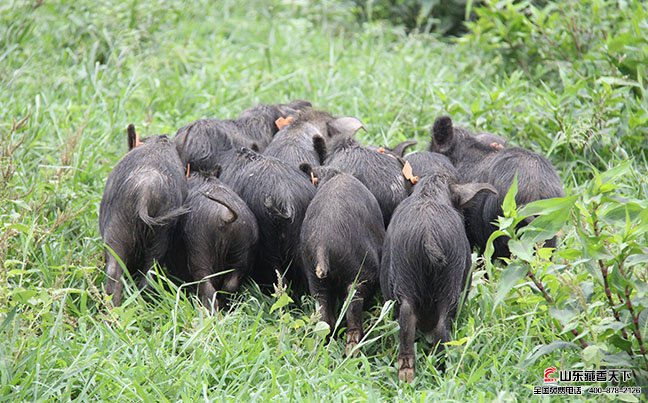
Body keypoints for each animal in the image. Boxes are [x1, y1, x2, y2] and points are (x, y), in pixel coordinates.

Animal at [298, 166, 384, 356]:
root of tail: (322, 246)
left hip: (314, 277)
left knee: (324, 318)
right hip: (357, 275)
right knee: (352, 311)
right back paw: (353, 351)